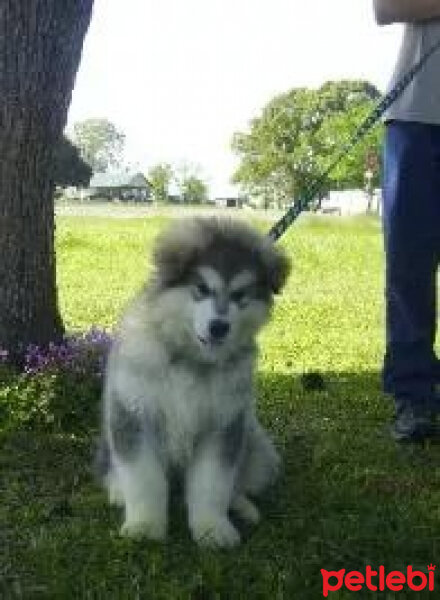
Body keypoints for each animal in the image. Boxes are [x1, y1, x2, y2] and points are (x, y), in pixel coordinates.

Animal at [97, 217, 288, 548]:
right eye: (202, 288)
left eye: (240, 295)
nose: (219, 327)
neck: (189, 358)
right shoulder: (134, 415)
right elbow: (143, 479)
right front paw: (145, 525)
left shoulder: (223, 424)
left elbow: (213, 484)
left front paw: (213, 528)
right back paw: (118, 491)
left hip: (259, 449)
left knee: (238, 484)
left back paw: (243, 507)